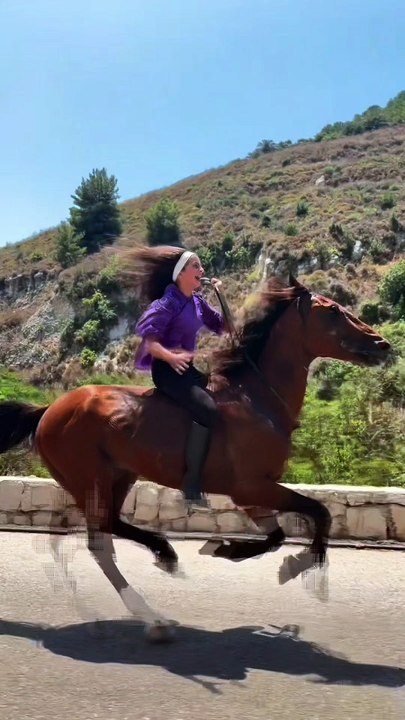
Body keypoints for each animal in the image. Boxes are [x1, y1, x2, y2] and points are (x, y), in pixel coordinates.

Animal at [0, 274, 391, 639]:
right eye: (333, 310)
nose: (382, 344)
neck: (257, 398)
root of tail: (49, 410)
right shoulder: (251, 487)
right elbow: (319, 513)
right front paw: (300, 568)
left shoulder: (253, 494)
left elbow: (278, 535)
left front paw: (226, 548)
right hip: (89, 479)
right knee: (100, 544)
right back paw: (152, 617)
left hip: (119, 475)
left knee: (109, 525)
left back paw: (164, 554)